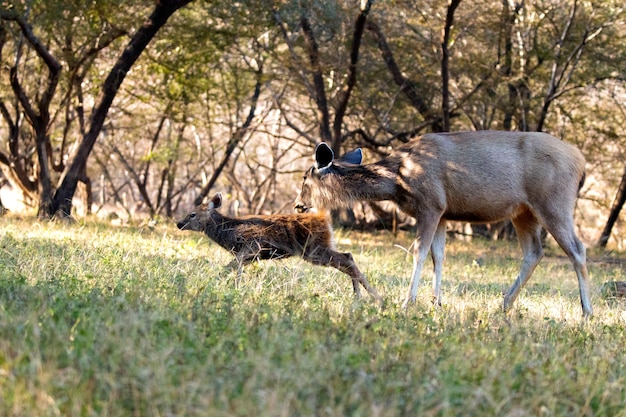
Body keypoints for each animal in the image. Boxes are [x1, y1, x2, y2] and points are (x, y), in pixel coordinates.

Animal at [176, 192, 380, 300]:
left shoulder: (251, 245)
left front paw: (228, 286)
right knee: (347, 257)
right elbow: (234, 268)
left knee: (347, 259)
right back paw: (359, 296)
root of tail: (325, 219)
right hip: (319, 248)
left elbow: (230, 268)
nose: (179, 223)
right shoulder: (250, 256)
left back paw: (374, 298)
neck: (228, 232)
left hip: (314, 249)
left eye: (192, 214)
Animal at [292, 130, 588, 316]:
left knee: (577, 249)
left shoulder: (431, 204)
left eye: (305, 179)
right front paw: (437, 303)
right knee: (534, 252)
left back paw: (587, 311)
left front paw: (408, 302)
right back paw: (503, 304)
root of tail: (581, 163)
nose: (297, 204)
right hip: (523, 212)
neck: (398, 180)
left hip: (553, 201)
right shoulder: (444, 213)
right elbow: (439, 256)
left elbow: (419, 252)